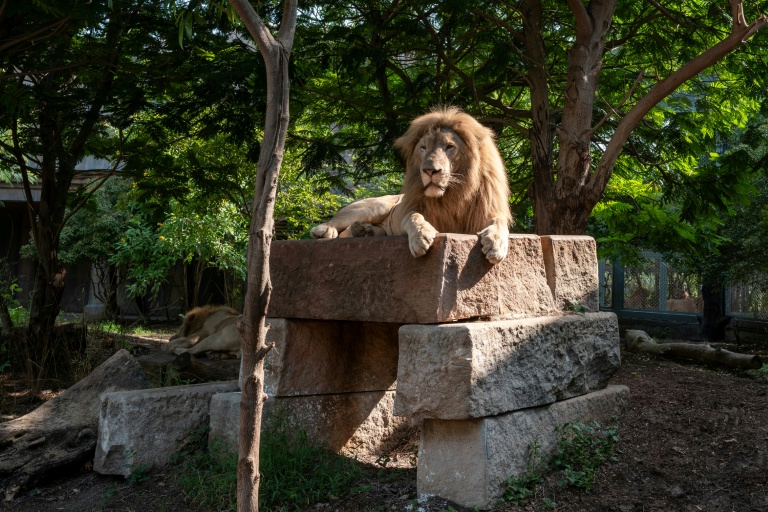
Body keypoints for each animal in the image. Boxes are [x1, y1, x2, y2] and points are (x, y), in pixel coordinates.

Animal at [310, 107, 512, 263]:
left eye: (449, 147)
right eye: (423, 148)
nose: (429, 170)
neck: (453, 193)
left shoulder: (486, 212)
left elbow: (500, 222)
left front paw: (496, 244)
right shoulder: (409, 209)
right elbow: (413, 217)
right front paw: (421, 237)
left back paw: (364, 230)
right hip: (376, 206)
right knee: (337, 227)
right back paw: (326, 230)